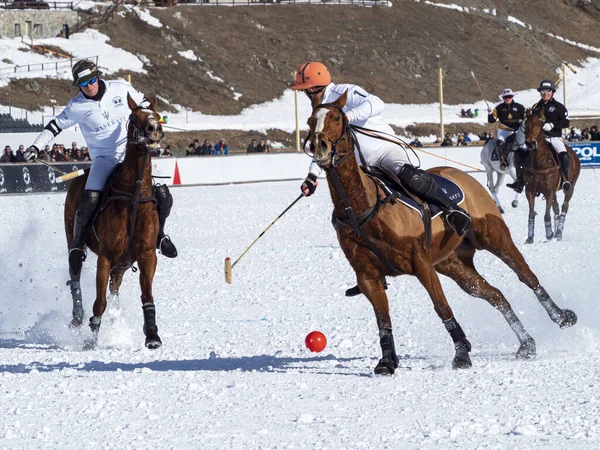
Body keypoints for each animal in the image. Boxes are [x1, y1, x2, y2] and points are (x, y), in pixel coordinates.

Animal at [64, 94, 163, 348]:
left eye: (158, 116)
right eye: (133, 117)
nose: (154, 130)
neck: (134, 194)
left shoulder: (147, 254)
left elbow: (148, 295)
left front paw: (152, 335)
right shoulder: (106, 256)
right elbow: (99, 301)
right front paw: (91, 338)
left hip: (123, 263)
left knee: (115, 286)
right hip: (74, 238)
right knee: (75, 272)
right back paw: (77, 318)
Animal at [524, 107, 580, 243]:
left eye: (540, 124)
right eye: (526, 124)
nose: (530, 143)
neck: (539, 162)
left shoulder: (549, 191)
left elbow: (546, 214)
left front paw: (549, 234)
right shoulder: (529, 191)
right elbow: (531, 213)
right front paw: (530, 237)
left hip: (570, 187)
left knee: (565, 206)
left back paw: (558, 232)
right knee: (556, 207)